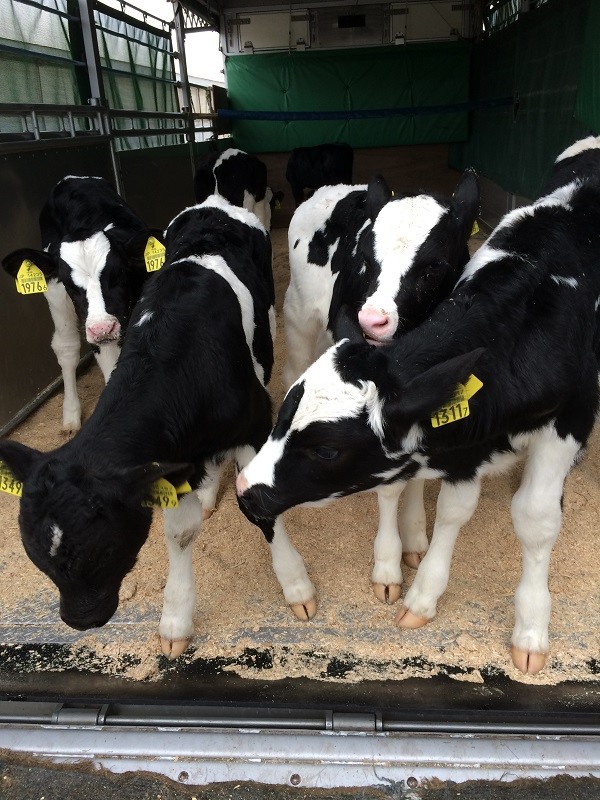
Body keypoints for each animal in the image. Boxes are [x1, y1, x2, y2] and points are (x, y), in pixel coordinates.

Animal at [2, 178, 157, 434]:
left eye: (118, 274)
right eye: (70, 284)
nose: (102, 329)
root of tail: (70, 179)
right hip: (55, 294)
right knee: (66, 347)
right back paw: (70, 416)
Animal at [238, 134, 600, 672]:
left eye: (432, 266)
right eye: (366, 263)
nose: (245, 490)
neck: (532, 300)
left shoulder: (558, 420)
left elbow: (527, 517)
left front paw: (531, 630)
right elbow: (420, 497)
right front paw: (398, 571)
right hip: (299, 320)